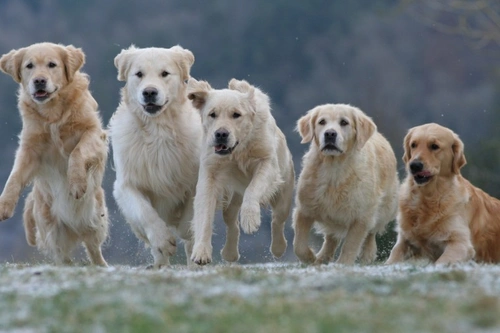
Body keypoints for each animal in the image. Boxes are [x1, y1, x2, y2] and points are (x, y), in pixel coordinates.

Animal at [0, 42, 109, 264]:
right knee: (62, 257)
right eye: (29, 66)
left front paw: (76, 183)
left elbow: (77, 153)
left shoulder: (93, 133)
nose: (39, 81)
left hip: (96, 218)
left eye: (52, 64)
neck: (52, 113)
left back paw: (102, 266)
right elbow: (14, 177)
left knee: (93, 249)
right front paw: (4, 205)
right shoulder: (30, 150)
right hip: (51, 228)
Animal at [188, 78, 296, 264]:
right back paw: (229, 253)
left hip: (284, 192)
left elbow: (253, 188)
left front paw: (250, 219)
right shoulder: (210, 173)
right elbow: (204, 214)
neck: (238, 151)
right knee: (231, 222)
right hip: (232, 198)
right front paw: (201, 252)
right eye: (212, 114)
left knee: (277, 220)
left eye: (236, 114)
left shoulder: (267, 162)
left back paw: (278, 248)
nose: (221, 134)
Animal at [292, 104, 398, 264]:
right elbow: (299, 245)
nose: (330, 134)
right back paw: (322, 258)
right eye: (322, 122)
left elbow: (350, 245)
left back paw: (367, 255)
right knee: (331, 238)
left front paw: (342, 264)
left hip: (384, 208)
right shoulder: (305, 209)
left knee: (371, 233)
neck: (334, 170)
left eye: (344, 122)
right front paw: (310, 257)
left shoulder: (361, 216)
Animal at [386, 123, 500, 264]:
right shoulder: (404, 240)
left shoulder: (460, 243)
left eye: (434, 146)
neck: (428, 197)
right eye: (413, 145)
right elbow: (391, 260)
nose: (414, 165)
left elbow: (440, 262)